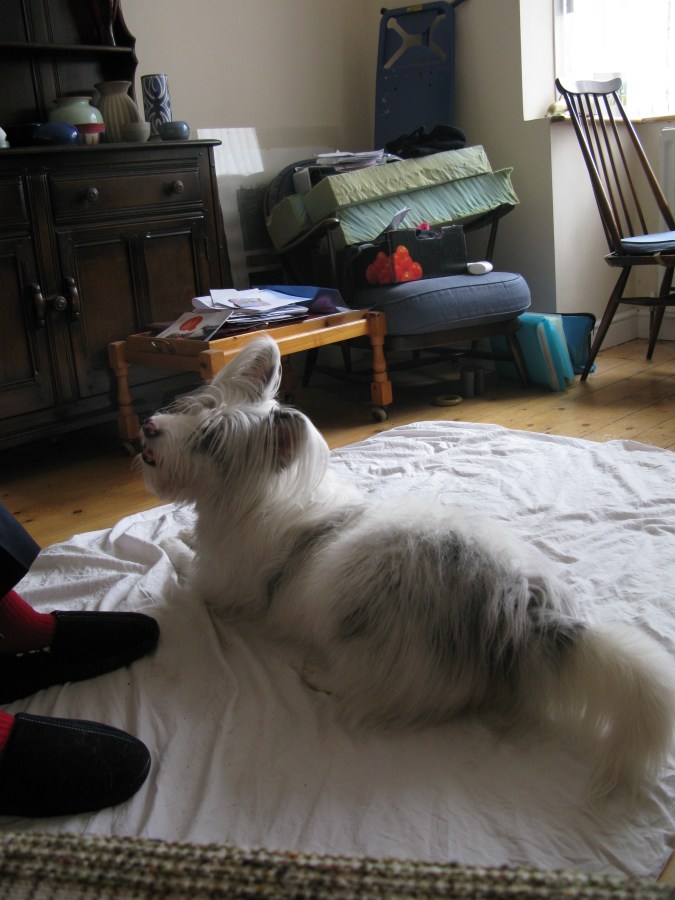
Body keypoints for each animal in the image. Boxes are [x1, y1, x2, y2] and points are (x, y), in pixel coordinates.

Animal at [140, 335, 675, 801]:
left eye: (210, 441)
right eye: (199, 407)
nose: (148, 428)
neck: (256, 493)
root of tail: (522, 614)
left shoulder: (219, 584)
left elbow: (185, 567)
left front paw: (171, 542)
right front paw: (181, 534)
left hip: (357, 600)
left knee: (381, 685)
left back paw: (322, 675)